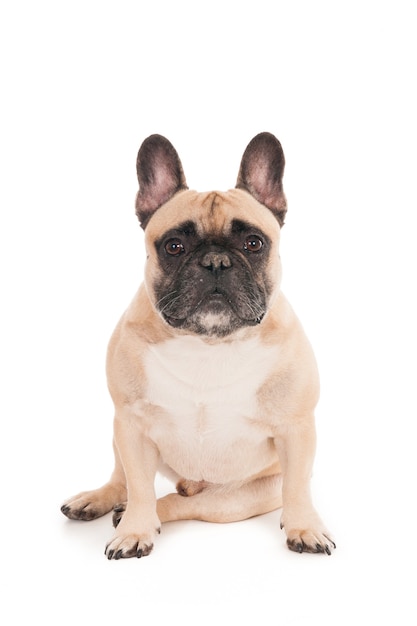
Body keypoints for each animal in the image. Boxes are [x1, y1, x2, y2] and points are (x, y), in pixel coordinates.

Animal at [61, 130, 334, 556]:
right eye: (174, 246)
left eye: (254, 243)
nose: (216, 261)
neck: (210, 343)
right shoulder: (131, 425)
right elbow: (139, 485)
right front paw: (136, 530)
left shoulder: (297, 429)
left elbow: (297, 486)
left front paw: (304, 526)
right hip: (119, 434)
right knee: (125, 480)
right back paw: (103, 499)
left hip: (235, 500)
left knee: (186, 502)